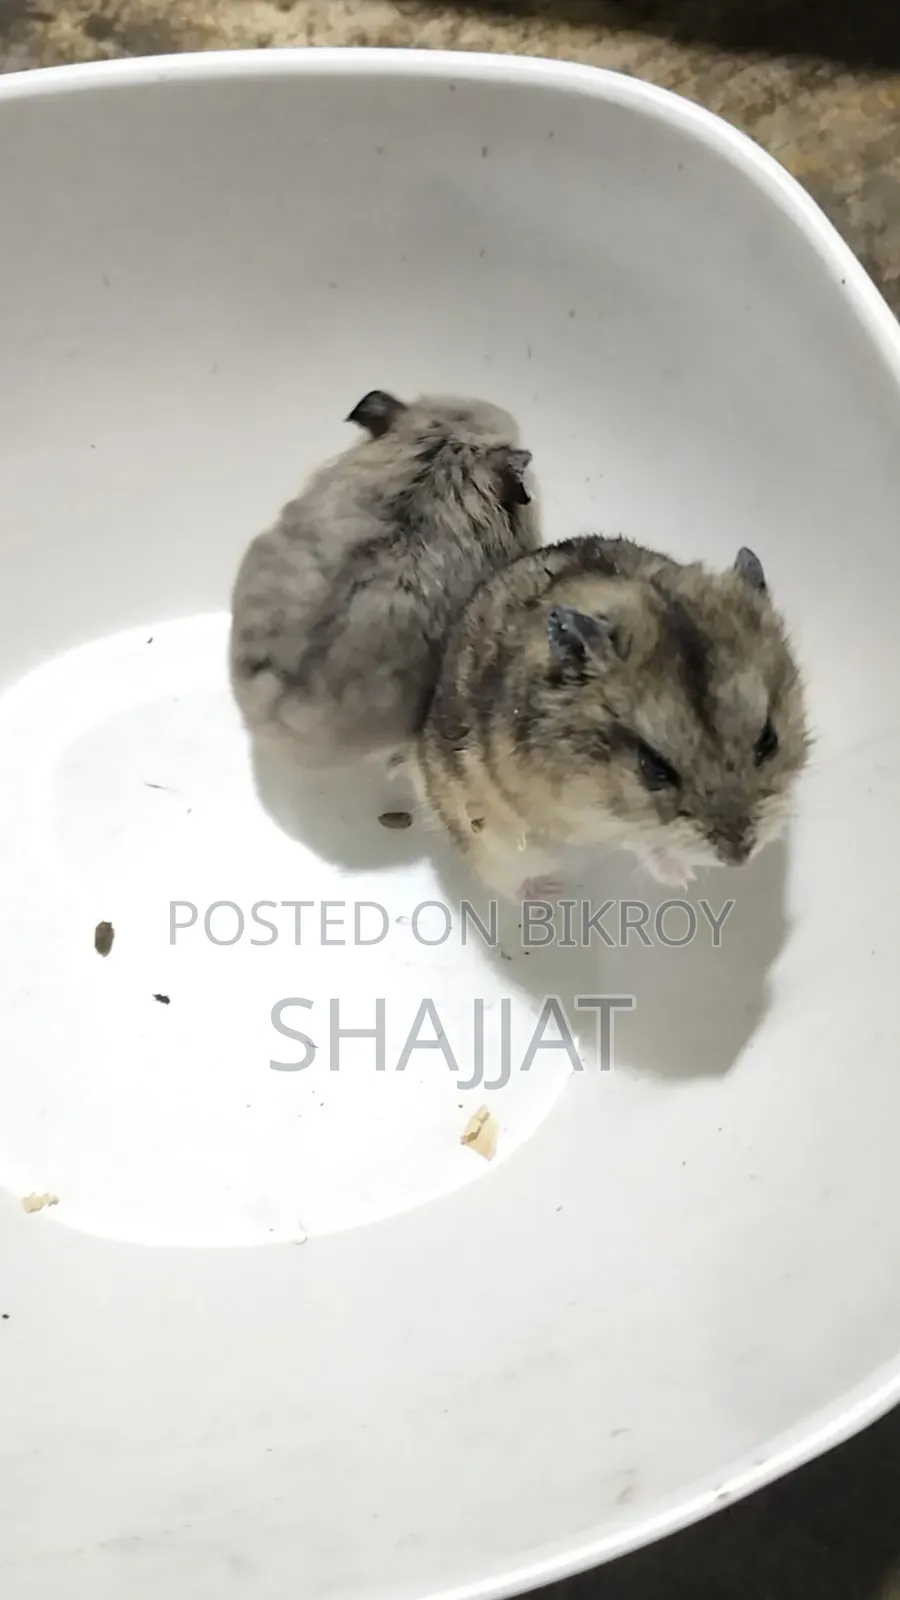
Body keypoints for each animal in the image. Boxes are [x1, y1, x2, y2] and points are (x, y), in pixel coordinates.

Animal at [412, 533, 810, 901]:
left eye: (769, 741)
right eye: (652, 767)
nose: (740, 858)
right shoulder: (570, 815)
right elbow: (638, 837)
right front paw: (683, 879)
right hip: (491, 844)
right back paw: (551, 892)